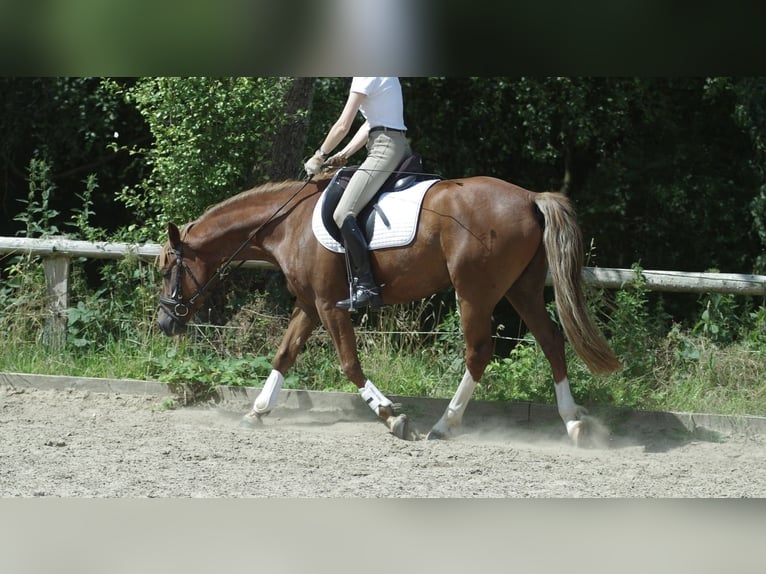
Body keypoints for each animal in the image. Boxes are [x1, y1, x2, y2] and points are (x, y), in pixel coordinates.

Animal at [159, 174, 620, 446]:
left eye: (167, 270)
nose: (165, 322)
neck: (288, 224)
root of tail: (529, 197)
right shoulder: (309, 304)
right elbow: (284, 354)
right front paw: (256, 411)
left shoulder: (329, 305)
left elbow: (349, 363)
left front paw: (392, 417)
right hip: (521, 290)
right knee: (552, 341)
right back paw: (573, 423)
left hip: (474, 291)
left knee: (479, 352)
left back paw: (444, 425)